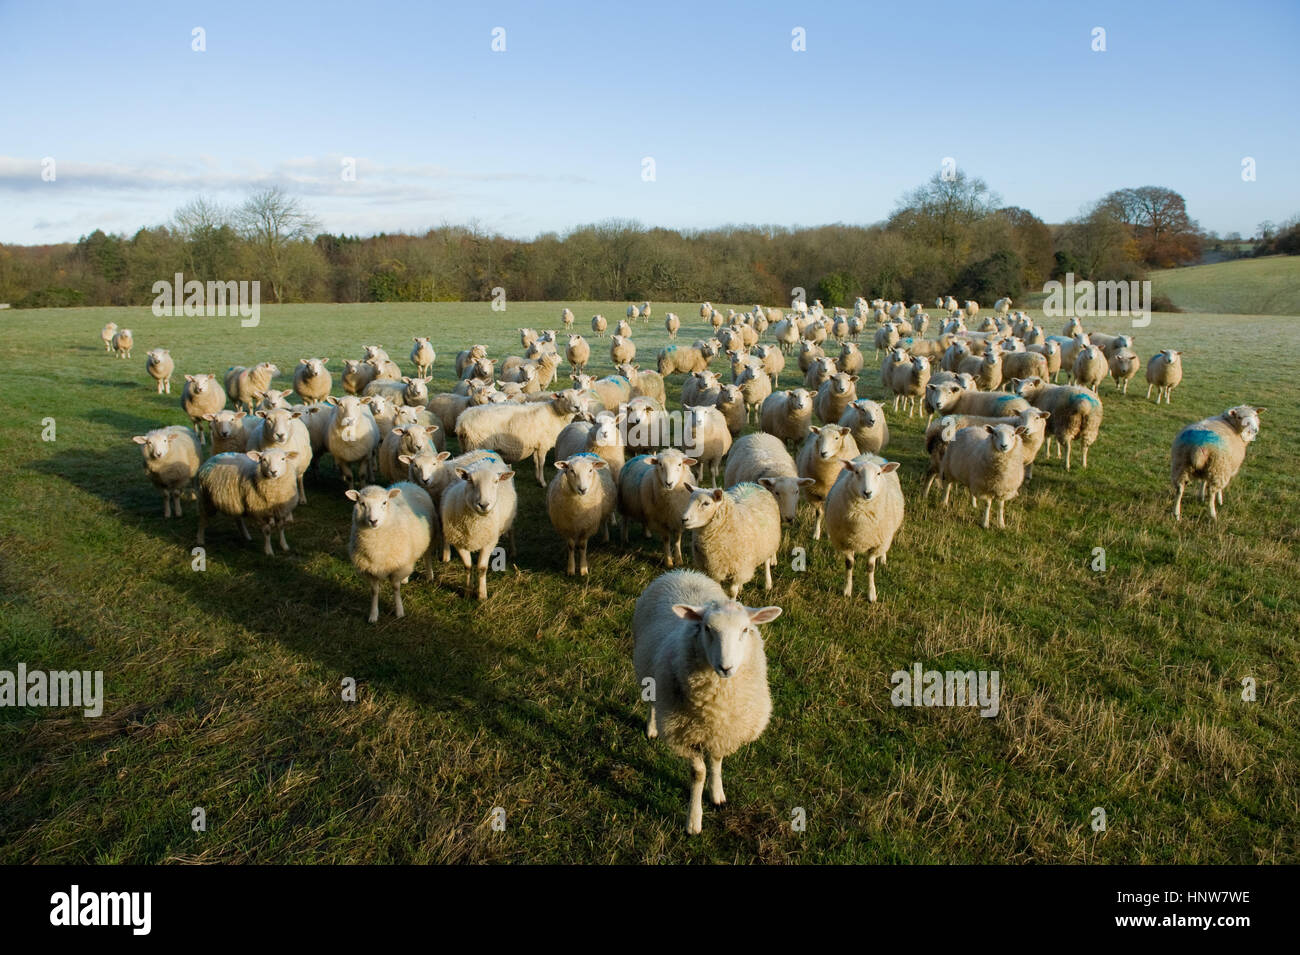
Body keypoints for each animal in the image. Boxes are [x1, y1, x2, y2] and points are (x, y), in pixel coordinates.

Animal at [346, 482, 435, 622]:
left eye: (384, 502)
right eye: (362, 503)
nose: (373, 521)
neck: (376, 547)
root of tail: (407, 483)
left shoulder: (397, 567)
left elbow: (396, 588)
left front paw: (399, 612)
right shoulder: (370, 570)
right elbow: (374, 591)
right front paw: (373, 615)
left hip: (429, 539)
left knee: (427, 556)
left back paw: (429, 576)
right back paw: (405, 579)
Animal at [441, 462, 518, 599]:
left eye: (496, 481)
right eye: (470, 480)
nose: (483, 505)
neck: (474, 526)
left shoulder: (489, 542)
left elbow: (482, 568)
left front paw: (482, 595)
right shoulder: (459, 542)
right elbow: (467, 566)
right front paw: (467, 592)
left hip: (510, 517)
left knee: (511, 530)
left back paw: (513, 551)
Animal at [455, 389, 584, 486]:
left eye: (578, 395)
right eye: (562, 396)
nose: (577, 407)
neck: (555, 414)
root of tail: (461, 421)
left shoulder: (535, 444)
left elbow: (536, 462)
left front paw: (537, 478)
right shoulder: (542, 444)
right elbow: (541, 463)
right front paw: (542, 482)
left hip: (465, 445)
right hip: (476, 444)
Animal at [632, 569, 782, 834]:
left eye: (745, 630)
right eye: (707, 628)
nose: (726, 667)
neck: (717, 708)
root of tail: (682, 572)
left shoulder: (723, 730)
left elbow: (716, 761)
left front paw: (717, 794)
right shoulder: (684, 733)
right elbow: (698, 773)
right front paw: (694, 820)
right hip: (648, 670)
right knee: (651, 702)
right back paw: (651, 728)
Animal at [824, 455, 905, 599]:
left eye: (878, 474)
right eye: (856, 472)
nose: (867, 493)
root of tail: (870, 455)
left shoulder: (877, 544)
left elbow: (870, 567)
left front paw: (872, 594)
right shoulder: (845, 542)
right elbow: (849, 564)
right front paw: (847, 590)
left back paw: (883, 559)